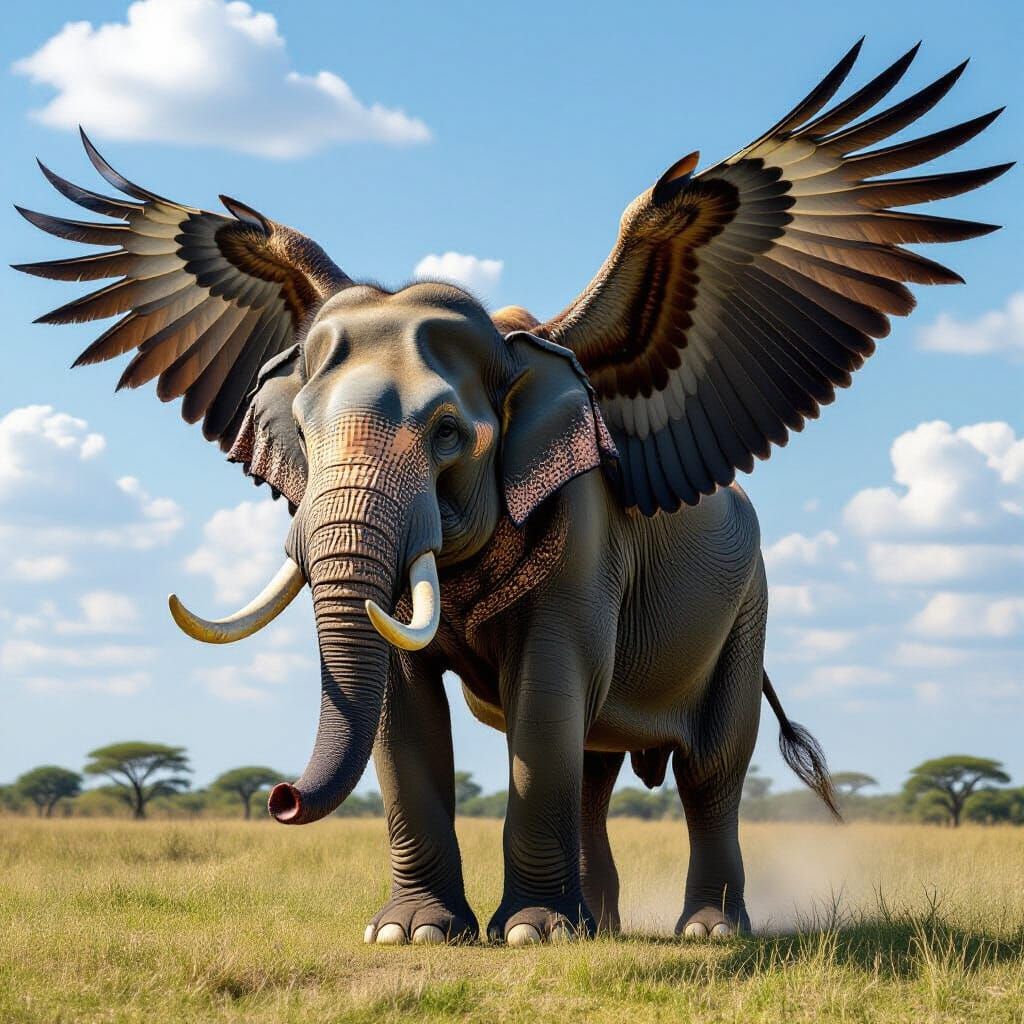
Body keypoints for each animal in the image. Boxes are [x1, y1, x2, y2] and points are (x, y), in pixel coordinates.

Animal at [16, 40, 1006, 945]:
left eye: (449, 435)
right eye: (299, 432)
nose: (280, 797)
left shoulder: (585, 530)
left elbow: (548, 696)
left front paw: (527, 936)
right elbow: (408, 710)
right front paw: (416, 936)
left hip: (750, 601)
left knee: (708, 769)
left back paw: (705, 933)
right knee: (597, 763)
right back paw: (601, 928)